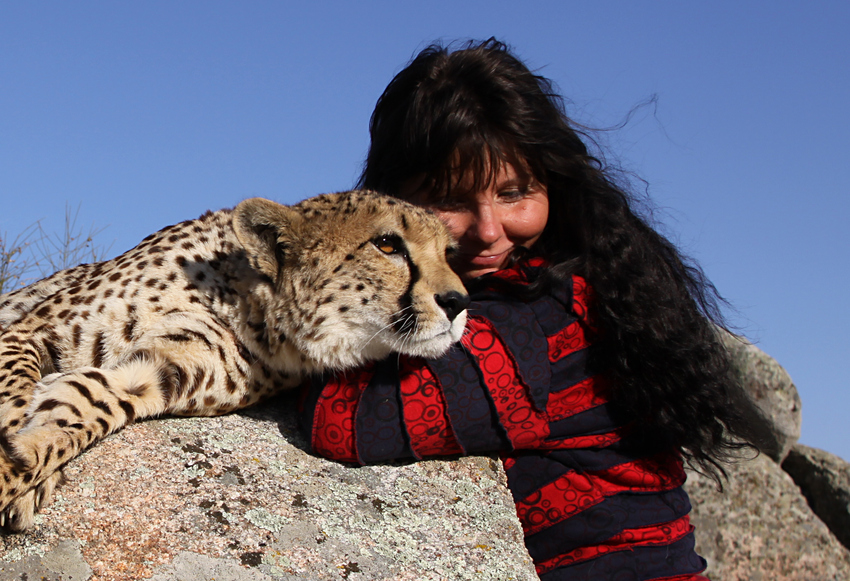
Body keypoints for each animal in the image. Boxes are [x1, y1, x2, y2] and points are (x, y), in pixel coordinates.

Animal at [0, 191, 468, 532]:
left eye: (449, 254)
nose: (458, 301)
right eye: (387, 244)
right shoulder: (27, 330)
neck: (242, 296)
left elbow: (87, 405)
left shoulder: (157, 371)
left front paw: (21, 472)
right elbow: (16, 397)